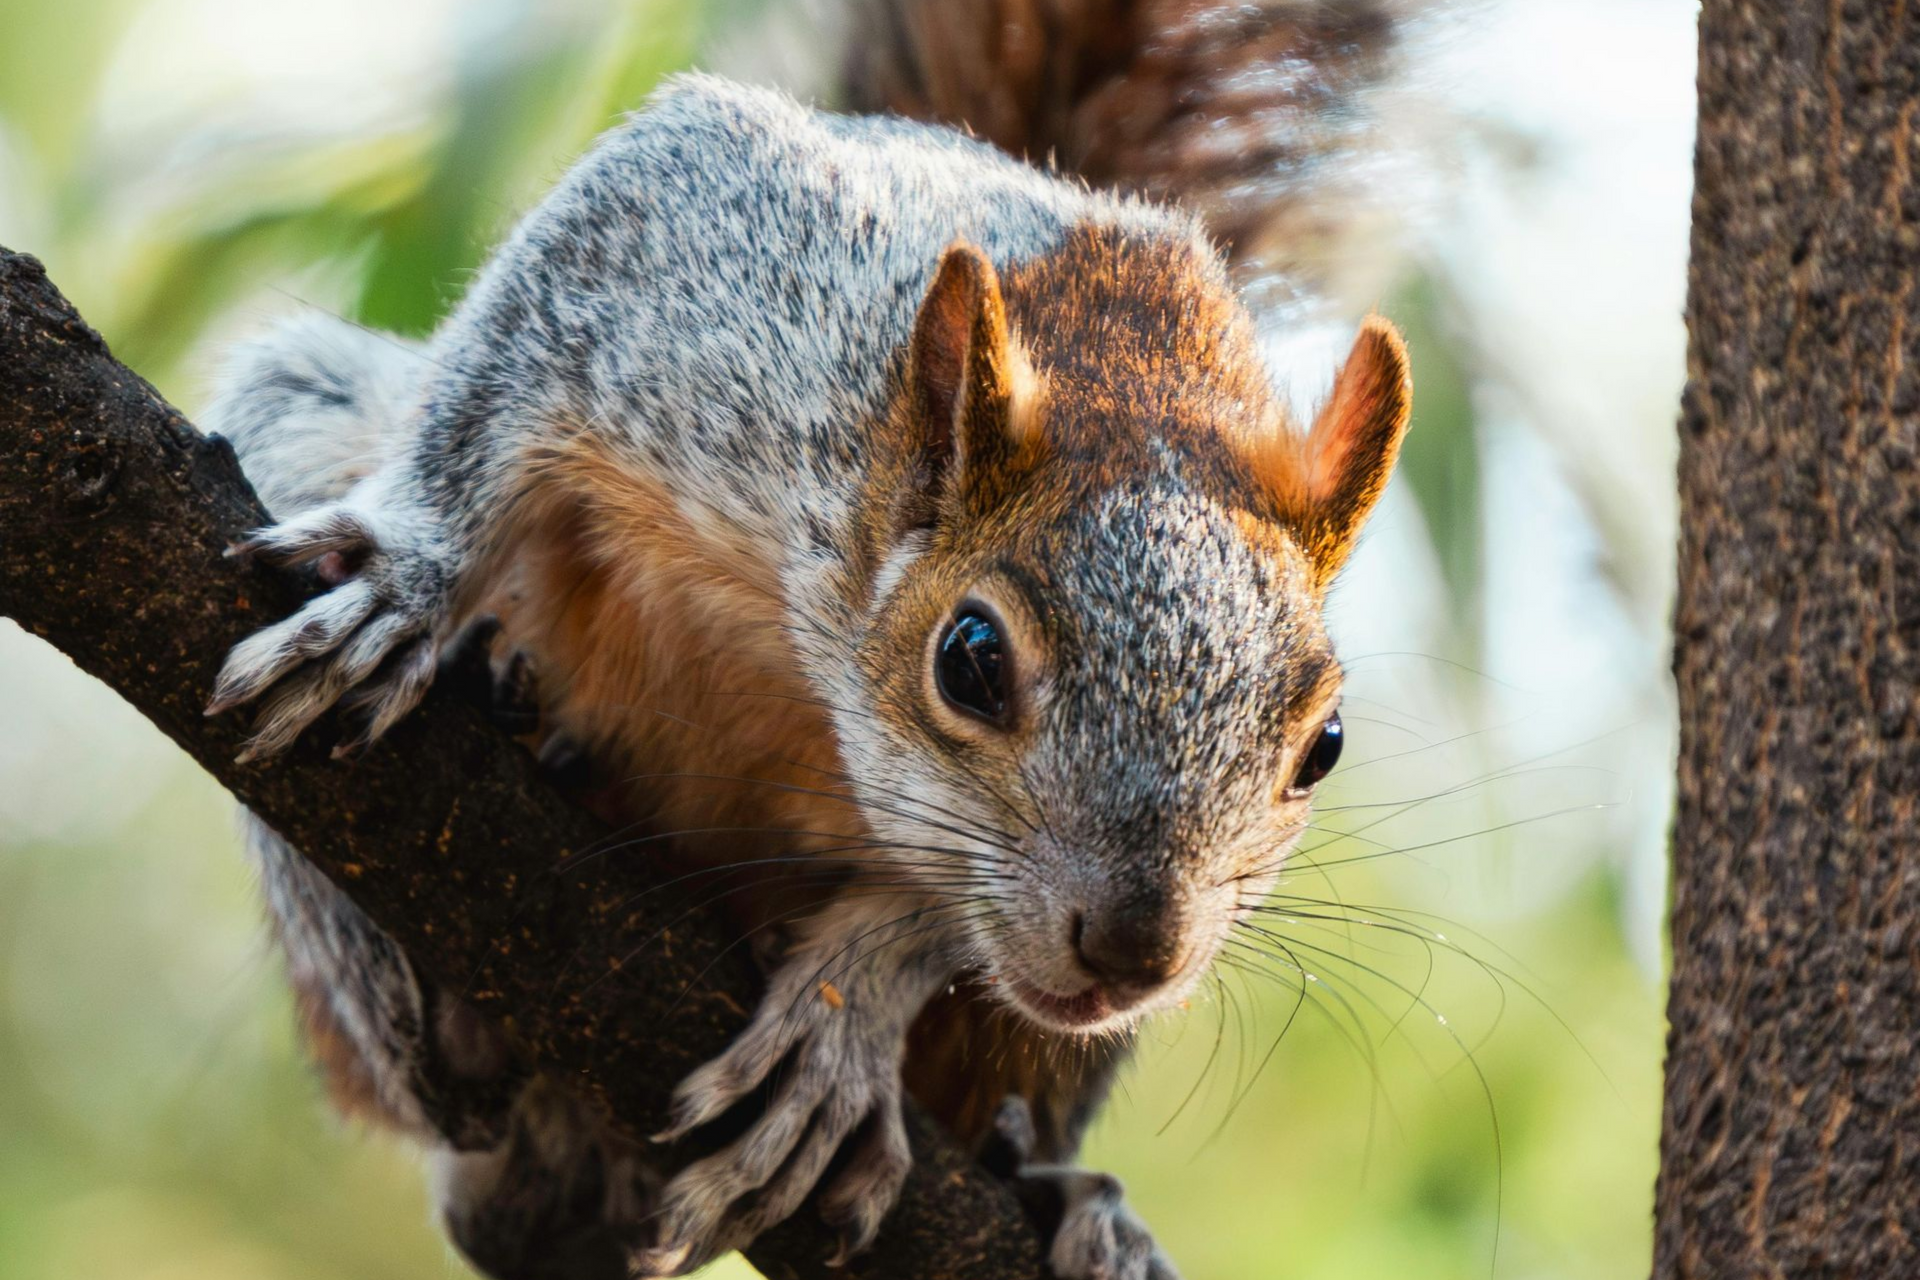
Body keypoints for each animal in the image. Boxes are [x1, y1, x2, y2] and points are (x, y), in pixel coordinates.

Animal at [203, 3, 1419, 1277]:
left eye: (1325, 743)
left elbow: (935, 915)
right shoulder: (687, 263)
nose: (1137, 950)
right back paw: (430, 970)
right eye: (970, 658)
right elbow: (490, 392)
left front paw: (854, 1005)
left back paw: (1080, 1205)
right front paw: (410, 575)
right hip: (304, 411)